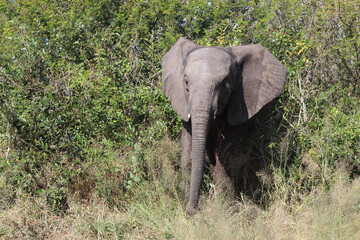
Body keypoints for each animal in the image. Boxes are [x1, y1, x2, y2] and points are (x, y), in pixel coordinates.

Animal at [162, 37, 288, 216]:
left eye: (225, 84)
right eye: (186, 82)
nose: (191, 211)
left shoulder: (241, 105)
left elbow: (227, 156)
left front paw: (221, 208)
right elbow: (189, 153)